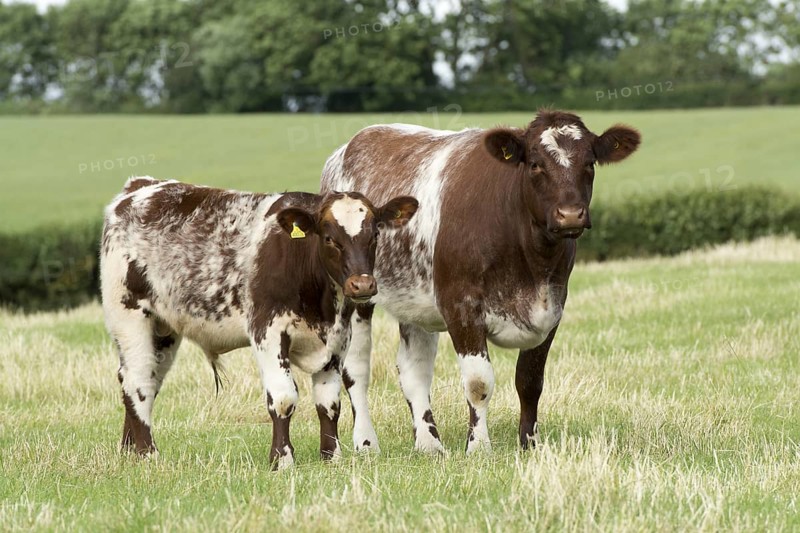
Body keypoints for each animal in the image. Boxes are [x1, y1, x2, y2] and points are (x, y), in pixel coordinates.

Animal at [100, 176, 418, 469]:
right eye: (329, 238)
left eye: (374, 233)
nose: (362, 285)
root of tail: (140, 186)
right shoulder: (268, 331)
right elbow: (283, 397)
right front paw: (282, 459)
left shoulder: (338, 340)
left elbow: (329, 404)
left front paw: (332, 457)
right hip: (130, 318)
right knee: (138, 381)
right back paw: (147, 453)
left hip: (163, 331)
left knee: (141, 381)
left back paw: (128, 449)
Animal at [320, 109, 641, 454]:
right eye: (535, 164)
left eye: (590, 163)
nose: (570, 215)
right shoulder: (460, 306)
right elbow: (478, 382)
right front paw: (478, 446)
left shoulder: (553, 308)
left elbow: (530, 381)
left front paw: (529, 443)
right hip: (356, 293)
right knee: (356, 369)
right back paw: (366, 442)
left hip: (416, 301)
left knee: (414, 370)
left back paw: (429, 444)